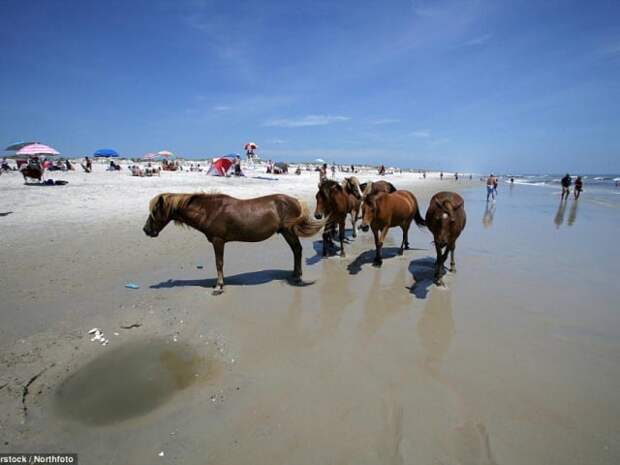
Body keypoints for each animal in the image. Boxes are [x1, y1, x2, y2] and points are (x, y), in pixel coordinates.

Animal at [144, 192, 324, 294]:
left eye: (154, 212)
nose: (146, 230)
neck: (210, 210)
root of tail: (296, 201)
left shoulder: (218, 241)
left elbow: (219, 263)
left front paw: (219, 286)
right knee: (296, 251)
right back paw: (295, 274)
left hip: (289, 231)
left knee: (297, 250)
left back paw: (298, 277)